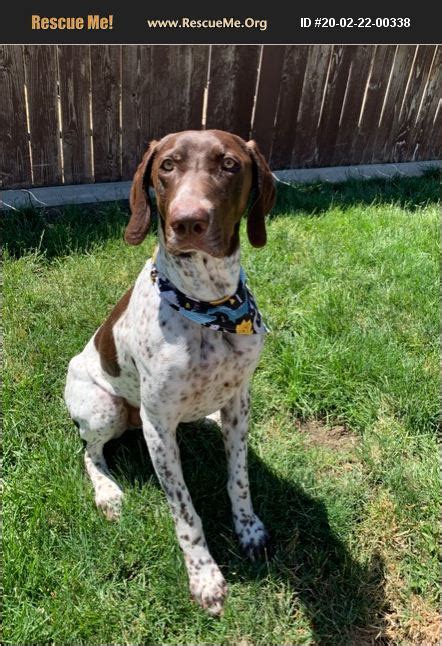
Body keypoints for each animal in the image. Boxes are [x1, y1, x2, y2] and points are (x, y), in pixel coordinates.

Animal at [64, 128, 274, 616]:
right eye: (167, 166)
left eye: (229, 164)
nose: (187, 221)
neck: (211, 307)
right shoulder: (157, 427)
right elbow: (186, 511)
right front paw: (205, 577)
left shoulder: (240, 402)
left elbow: (239, 479)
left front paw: (249, 529)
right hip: (104, 409)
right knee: (89, 453)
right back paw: (107, 493)